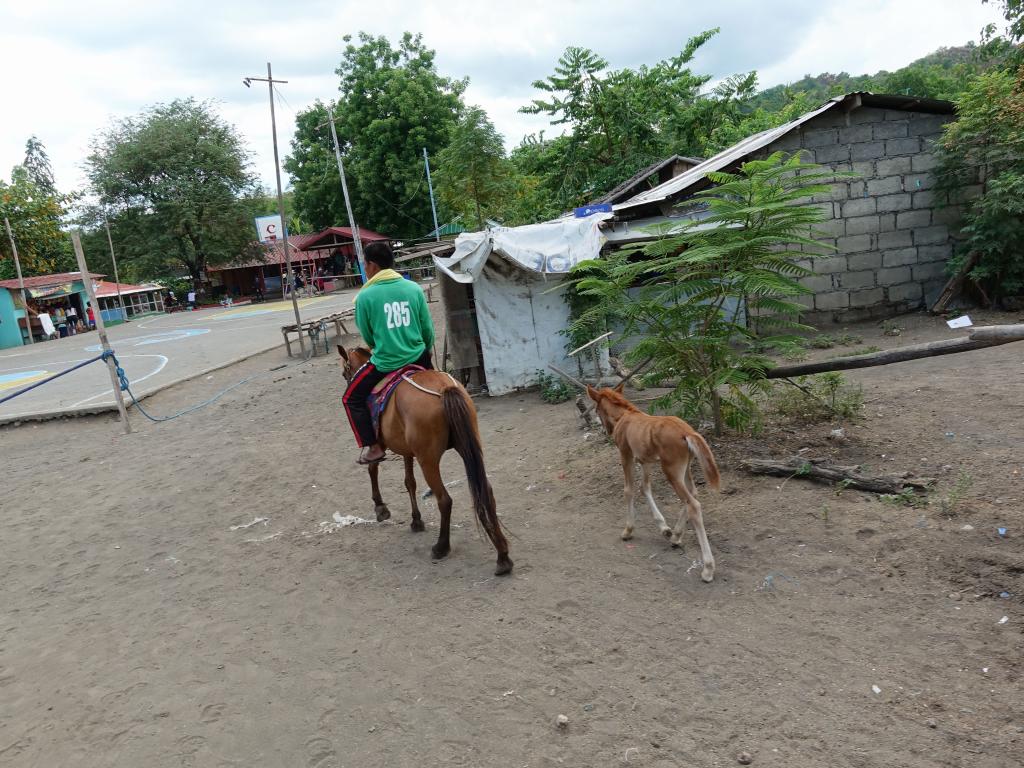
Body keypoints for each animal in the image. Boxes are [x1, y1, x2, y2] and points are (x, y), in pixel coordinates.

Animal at [337, 346, 512, 573]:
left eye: (345, 373)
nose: (348, 379)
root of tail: (445, 389)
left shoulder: (379, 443)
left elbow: (372, 468)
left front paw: (381, 508)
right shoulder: (407, 450)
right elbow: (409, 483)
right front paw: (416, 520)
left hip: (428, 460)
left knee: (444, 500)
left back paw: (441, 547)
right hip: (467, 447)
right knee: (485, 492)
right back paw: (502, 555)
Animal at [589, 385, 724, 581]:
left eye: (596, 409)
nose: (606, 431)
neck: (625, 416)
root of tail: (687, 432)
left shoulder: (626, 455)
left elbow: (629, 490)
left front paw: (628, 530)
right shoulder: (645, 461)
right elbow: (645, 487)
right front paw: (664, 528)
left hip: (670, 470)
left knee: (693, 504)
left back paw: (707, 568)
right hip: (685, 468)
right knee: (693, 494)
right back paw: (676, 536)